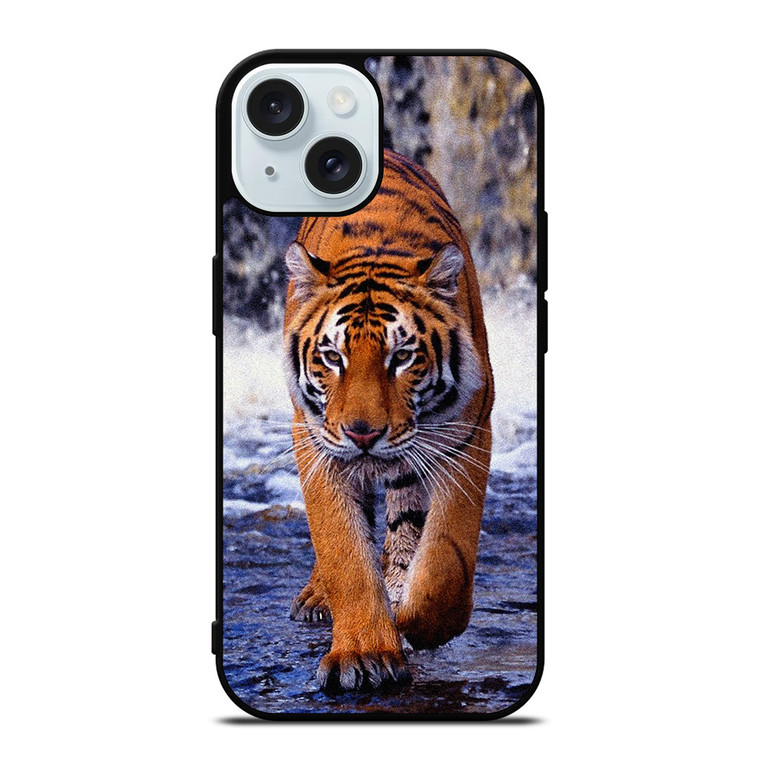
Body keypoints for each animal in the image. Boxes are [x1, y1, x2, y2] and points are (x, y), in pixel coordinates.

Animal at [283, 148, 494, 692]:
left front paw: (416, 622)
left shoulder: (466, 435)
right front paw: (364, 653)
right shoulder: (316, 441)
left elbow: (445, 559)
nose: (363, 433)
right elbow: (343, 550)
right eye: (332, 357)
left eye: (401, 357)